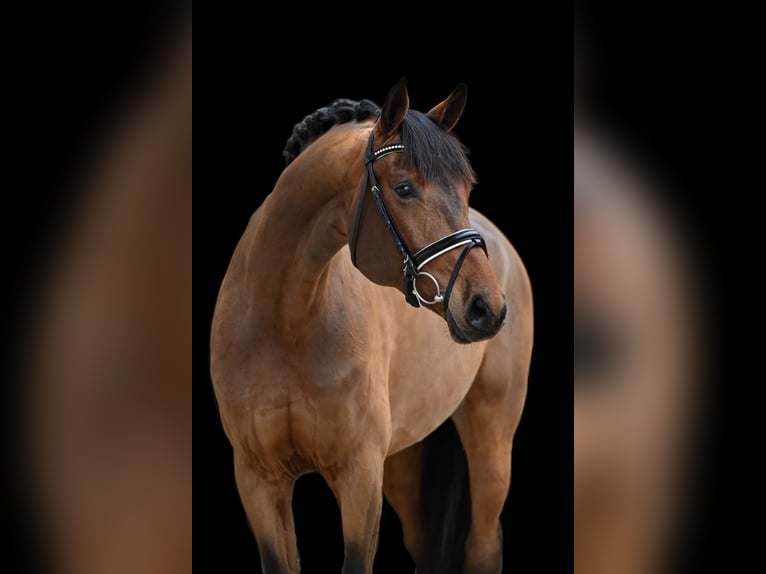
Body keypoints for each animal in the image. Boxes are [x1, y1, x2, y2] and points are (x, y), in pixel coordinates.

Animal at [209, 78, 534, 574]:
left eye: (466, 186)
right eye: (403, 188)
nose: (487, 307)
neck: (285, 324)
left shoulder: (358, 478)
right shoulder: (258, 479)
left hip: (492, 435)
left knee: (483, 543)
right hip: (403, 458)